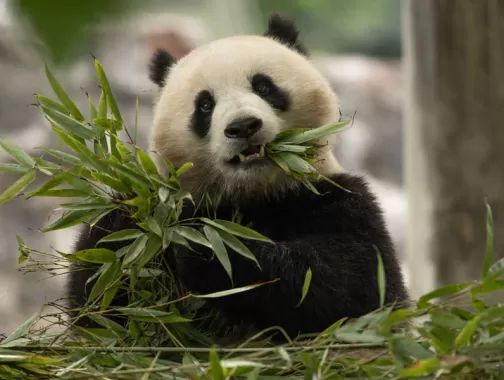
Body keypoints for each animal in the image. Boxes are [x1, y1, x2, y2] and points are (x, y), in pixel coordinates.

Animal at [69, 14, 410, 342]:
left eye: (263, 87)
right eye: (205, 105)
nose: (243, 126)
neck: (255, 194)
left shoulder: (337, 198)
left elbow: (356, 284)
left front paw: (209, 249)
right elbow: (98, 302)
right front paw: (132, 225)